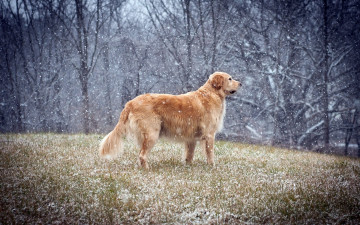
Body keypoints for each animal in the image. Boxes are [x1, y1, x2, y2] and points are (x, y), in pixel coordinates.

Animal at [98, 72, 240, 169]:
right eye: (230, 78)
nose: (241, 83)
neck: (211, 94)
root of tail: (130, 102)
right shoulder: (209, 135)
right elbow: (210, 153)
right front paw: (212, 166)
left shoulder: (191, 138)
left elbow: (189, 155)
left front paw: (188, 167)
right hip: (152, 134)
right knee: (142, 155)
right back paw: (148, 169)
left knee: (140, 155)